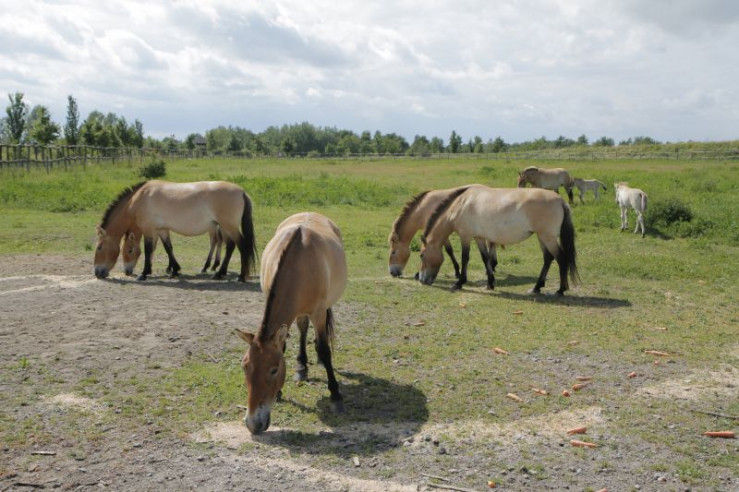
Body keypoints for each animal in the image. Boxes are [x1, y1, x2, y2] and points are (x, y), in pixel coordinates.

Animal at [93, 180, 256, 281]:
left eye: (100, 247)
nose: (97, 272)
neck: (139, 198)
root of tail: (241, 192)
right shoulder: (162, 229)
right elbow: (168, 248)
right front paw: (175, 270)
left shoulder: (149, 230)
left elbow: (148, 250)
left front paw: (144, 274)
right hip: (225, 228)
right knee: (230, 247)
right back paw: (219, 273)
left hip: (228, 227)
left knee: (242, 247)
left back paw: (240, 277)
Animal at [234, 212, 347, 434]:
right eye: (244, 366)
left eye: (274, 369)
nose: (253, 424)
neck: (298, 262)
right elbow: (285, 344)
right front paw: (280, 392)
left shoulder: (318, 312)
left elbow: (324, 350)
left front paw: (335, 395)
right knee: (303, 329)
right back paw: (302, 366)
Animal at [418, 185, 579, 295]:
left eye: (421, 255)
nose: (421, 279)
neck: (461, 205)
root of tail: (560, 200)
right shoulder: (479, 238)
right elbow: (485, 258)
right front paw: (490, 283)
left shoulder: (465, 236)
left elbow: (465, 258)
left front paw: (459, 283)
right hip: (542, 237)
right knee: (548, 258)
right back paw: (537, 287)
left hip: (548, 237)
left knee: (561, 258)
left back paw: (560, 290)